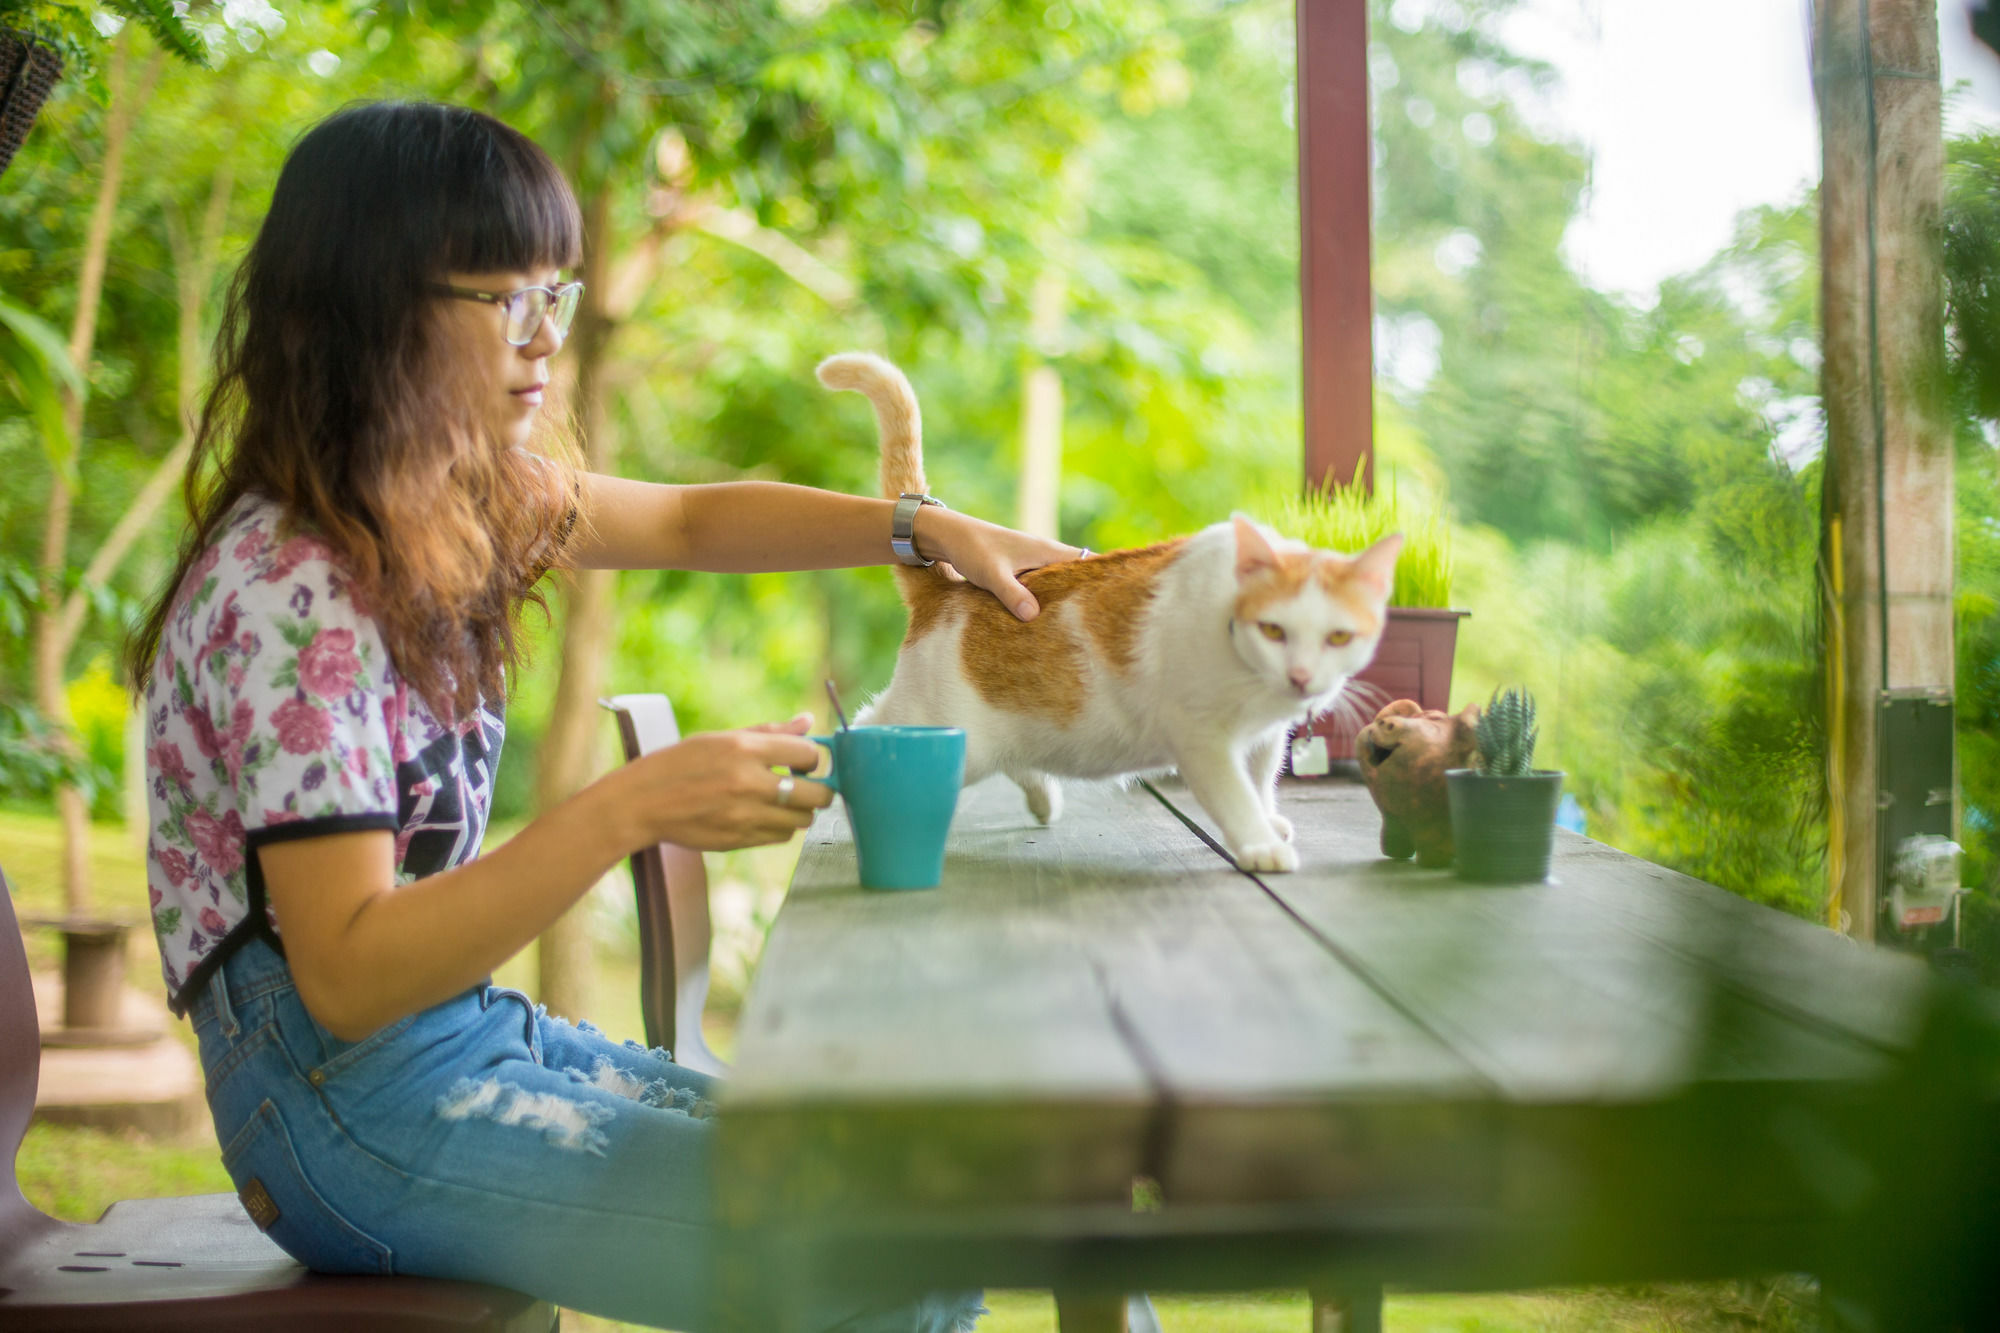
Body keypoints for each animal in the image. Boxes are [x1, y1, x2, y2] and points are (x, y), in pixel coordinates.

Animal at [820, 352, 1400, 872]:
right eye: (1274, 630)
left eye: (1339, 638)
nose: (1301, 677)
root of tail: (952, 589)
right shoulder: (1202, 740)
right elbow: (1236, 795)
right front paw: (1260, 845)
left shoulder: (1264, 739)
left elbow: (1260, 781)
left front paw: (1268, 820)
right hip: (936, 724)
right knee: (861, 730)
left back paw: (1043, 801)